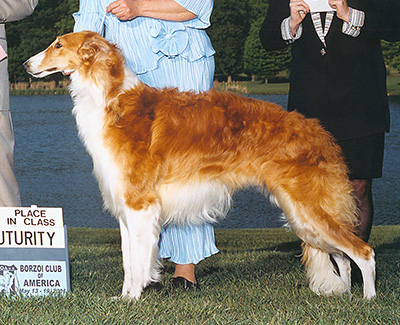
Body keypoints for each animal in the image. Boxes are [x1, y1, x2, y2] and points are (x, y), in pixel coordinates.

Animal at [24, 31, 376, 298]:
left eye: (58, 45)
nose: (26, 64)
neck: (110, 98)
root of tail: (321, 133)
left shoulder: (140, 205)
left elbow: (139, 263)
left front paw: (134, 298)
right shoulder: (126, 209)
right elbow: (128, 262)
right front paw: (123, 298)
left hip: (308, 208)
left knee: (363, 253)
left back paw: (368, 299)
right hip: (305, 213)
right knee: (343, 257)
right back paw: (344, 294)